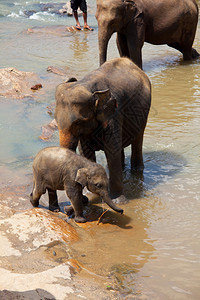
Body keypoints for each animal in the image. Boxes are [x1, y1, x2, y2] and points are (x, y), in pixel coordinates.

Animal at [54, 57, 151, 203]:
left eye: (78, 122)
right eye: (55, 120)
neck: (87, 87)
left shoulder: (114, 115)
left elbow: (111, 152)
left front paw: (119, 201)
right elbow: (86, 153)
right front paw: (90, 194)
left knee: (137, 140)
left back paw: (137, 171)